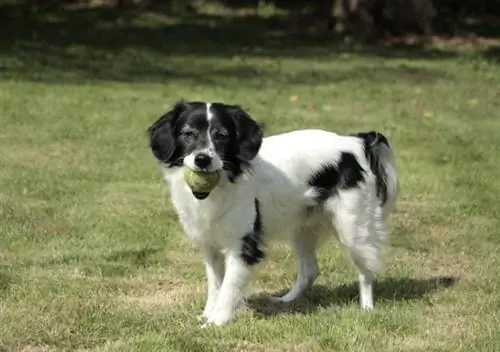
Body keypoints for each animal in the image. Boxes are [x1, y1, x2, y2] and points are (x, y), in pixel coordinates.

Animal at [146, 100, 398, 326]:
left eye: (222, 135)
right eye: (187, 134)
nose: (202, 159)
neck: (222, 185)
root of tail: (356, 142)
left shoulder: (243, 246)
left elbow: (228, 287)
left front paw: (217, 322)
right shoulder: (209, 245)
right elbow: (215, 284)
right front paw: (208, 314)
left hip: (353, 228)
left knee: (366, 271)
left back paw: (366, 308)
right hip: (302, 229)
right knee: (310, 270)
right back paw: (285, 300)